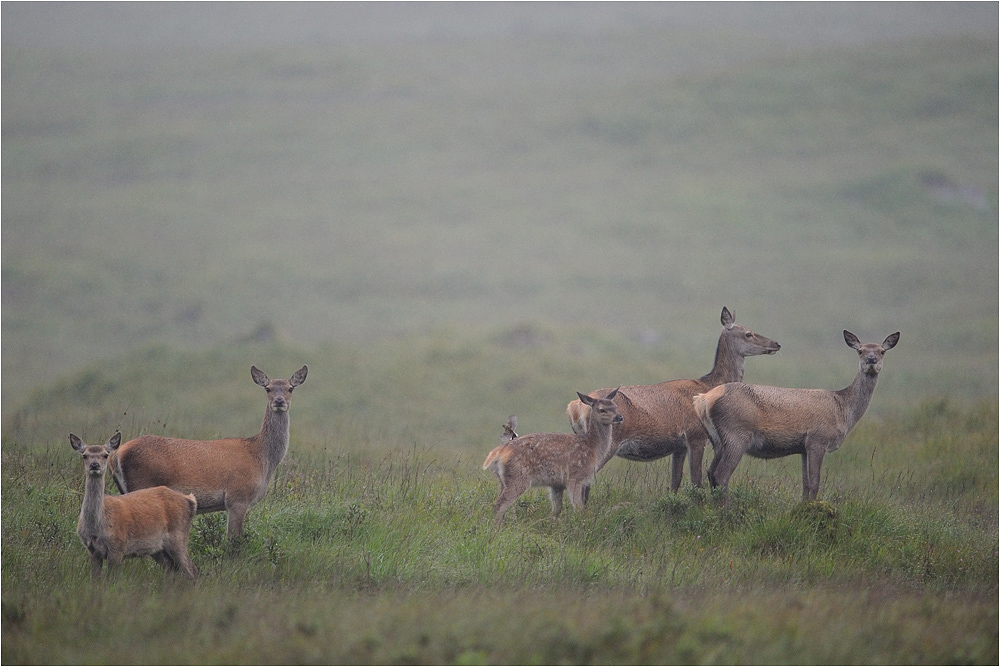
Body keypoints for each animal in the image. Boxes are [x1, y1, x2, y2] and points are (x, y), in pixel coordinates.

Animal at [69, 434, 199, 580]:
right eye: (84, 455)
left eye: (105, 455)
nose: (94, 465)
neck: (97, 527)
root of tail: (190, 500)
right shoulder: (92, 551)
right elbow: (95, 579)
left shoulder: (118, 547)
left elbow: (110, 580)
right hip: (158, 548)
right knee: (171, 568)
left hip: (178, 536)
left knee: (192, 570)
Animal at [108, 366, 304, 544]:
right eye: (268, 388)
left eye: (290, 388)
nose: (279, 401)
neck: (261, 458)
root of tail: (116, 455)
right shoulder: (237, 497)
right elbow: (234, 541)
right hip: (141, 483)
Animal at [480, 388, 620, 524]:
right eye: (602, 409)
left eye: (615, 406)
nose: (619, 417)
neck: (592, 447)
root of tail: (497, 453)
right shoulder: (575, 477)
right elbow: (579, 508)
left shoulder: (556, 484)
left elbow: (556, 511)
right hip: (518, 476)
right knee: (499, 504)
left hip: (503, 480)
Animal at [568, 306, 776, 490]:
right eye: (748, 333)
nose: (775, 344)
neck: (709, 385)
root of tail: (575, 407)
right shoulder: (696, 435)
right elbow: (696, 482)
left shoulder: (679, 446)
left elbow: (675, 482)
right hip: (606, 442)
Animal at [696, 328, 900, 500]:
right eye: (860, 351)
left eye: (882, 351)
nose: (871, 360)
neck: (843, 410)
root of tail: (704, 399)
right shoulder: (818, 439)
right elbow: (815, 483)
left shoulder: (803, 447)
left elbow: (806, 484)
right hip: (736, 434)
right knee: (721, 475)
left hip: (717, 440)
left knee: (710, 473)